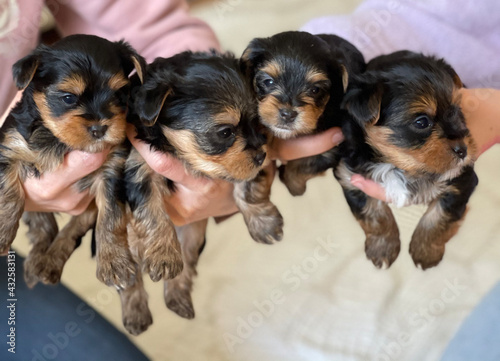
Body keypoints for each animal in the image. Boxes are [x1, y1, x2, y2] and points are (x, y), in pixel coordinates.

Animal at [0, 33, 146, 288]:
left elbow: (111, 215)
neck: (59, 140)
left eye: (119, 95)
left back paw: (47, 263)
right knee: (44, 226)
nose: (100, 128)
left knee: (71, 231)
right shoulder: (10, 146)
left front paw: (115, 262)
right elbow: (9, 193)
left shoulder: (111, 170)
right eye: (68, 98)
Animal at [125, 49, 282, 320]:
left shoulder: (239, 164)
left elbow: (246, 185)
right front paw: (163, 255)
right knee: (128, 277)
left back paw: (178, 299)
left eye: (256, 122)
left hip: (193, 236)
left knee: (187, 264)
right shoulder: (140, 163)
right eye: (225, 132)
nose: (261, 156)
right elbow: (152, 211)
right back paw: (136, 313)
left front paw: (264, 224)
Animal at [240, 29, 366, 195]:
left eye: (315, 90)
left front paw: (292, 186)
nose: (288, 114)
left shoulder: (332, 149)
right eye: (269, 82)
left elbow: (303, 167)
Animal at [336, 51, 476, 270]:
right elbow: (374, 215)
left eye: (456, 110)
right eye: (422, 122)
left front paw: (425, 252)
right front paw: (382, 248)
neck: (398, 165)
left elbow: (439, 216)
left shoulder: (461, 179)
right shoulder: (350, 176)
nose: (463, 150)